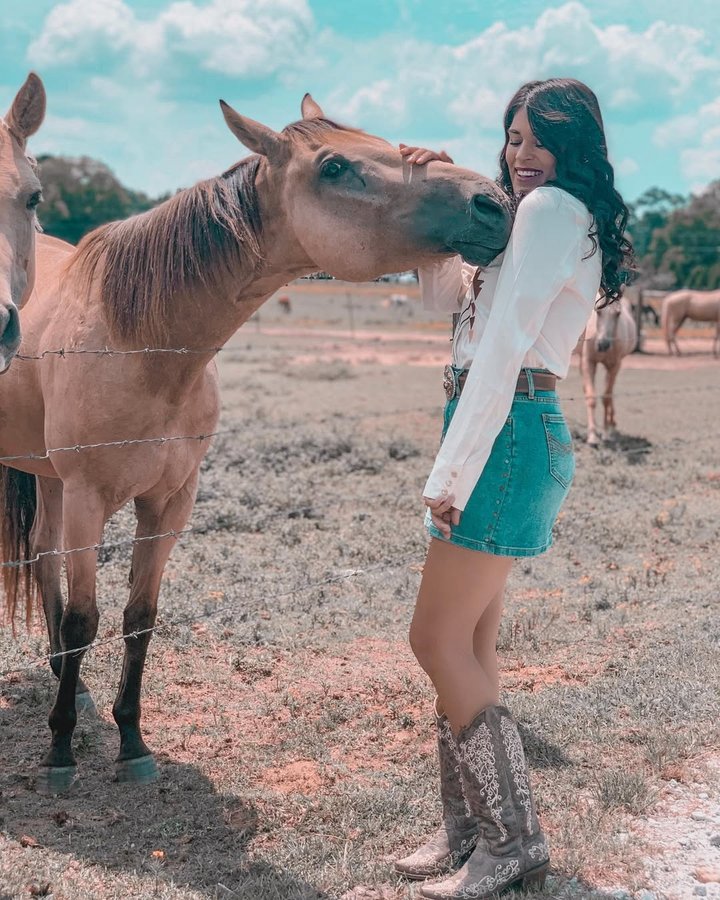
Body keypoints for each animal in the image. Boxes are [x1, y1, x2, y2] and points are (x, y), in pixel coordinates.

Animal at [0, 93, 511, 793]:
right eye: (335, 166)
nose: (492, 202)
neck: (138, 343)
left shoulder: (171, 503)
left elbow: (139, 618)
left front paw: (131, 741)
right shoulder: (87, 498)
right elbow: (86, 620)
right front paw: (59, 753)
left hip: (49, 479)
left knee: (45, 559)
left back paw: (67, 688)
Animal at [580, 291, 638, 446]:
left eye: (618, 314)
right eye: (598, 311)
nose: (603, 345)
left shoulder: (614, 366)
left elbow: (606, 397)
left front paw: (606, 433)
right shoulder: (589, 362)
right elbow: (591, 396)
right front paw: (592, 436)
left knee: (610, 393)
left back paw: (612, 426)